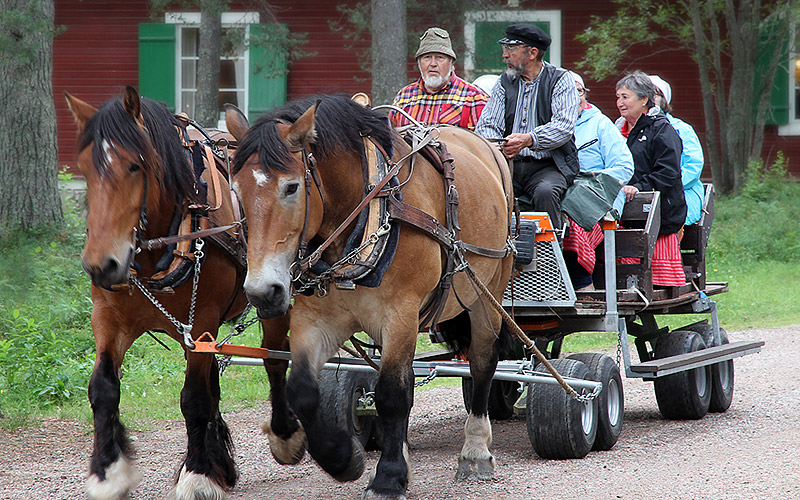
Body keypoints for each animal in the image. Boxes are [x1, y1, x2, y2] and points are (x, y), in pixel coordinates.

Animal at [64, 88, 292, 498]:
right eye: (85, 168)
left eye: (134, 166)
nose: (100, 264)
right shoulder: (108, 316)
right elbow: (103, 388)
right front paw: (108, 471)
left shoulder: (201, 320)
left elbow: (195, 398)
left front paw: (199, 473)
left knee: (279, 359)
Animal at [225, 94, 512, 500]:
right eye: (236, 191)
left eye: (292, 187)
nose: (263, 292)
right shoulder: (315, 318)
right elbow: (302, 388)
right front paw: (341, 458)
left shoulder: (401, 312)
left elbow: (392, 393)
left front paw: (388, 478)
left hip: (487, 294)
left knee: (482, 363)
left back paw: (475, 450)